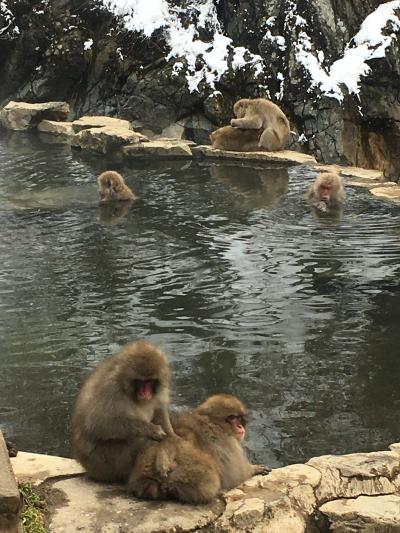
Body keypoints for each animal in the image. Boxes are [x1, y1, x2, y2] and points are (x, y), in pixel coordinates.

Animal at [70, 340, 177, 482]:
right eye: (140, 382)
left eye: (149, 382)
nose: (146, 393)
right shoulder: (110, 388)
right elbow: (98, 423)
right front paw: (152, 430)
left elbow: (159, 411)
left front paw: (172, 439)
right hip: (104, 462)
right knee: (140, 441)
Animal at [128, 390, 270, 502]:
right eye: (232, 418)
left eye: (239, 418)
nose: (240, 427)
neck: (215, 423)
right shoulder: (227, 442)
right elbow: (236, 475)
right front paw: (254, 469)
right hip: (186, 470)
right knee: (209, 479)